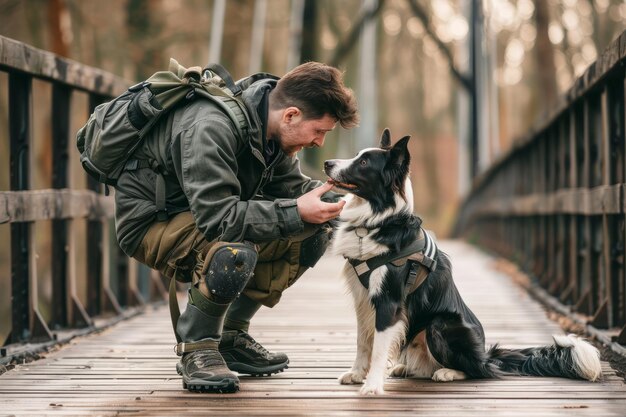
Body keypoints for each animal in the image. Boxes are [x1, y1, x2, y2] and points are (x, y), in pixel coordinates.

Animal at [322, 129, 600, 394]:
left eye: (364, 162)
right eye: (357, 155)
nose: (327, 163)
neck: (377, 221)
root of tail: (486, 354)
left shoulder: (389, 300)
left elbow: (379, 347)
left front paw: (372, 385)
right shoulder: (362, 298)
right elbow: (363, 340)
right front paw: (357, 374)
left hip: (440, 324)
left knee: (480, 371)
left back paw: (448, 372)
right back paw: (406, 367)